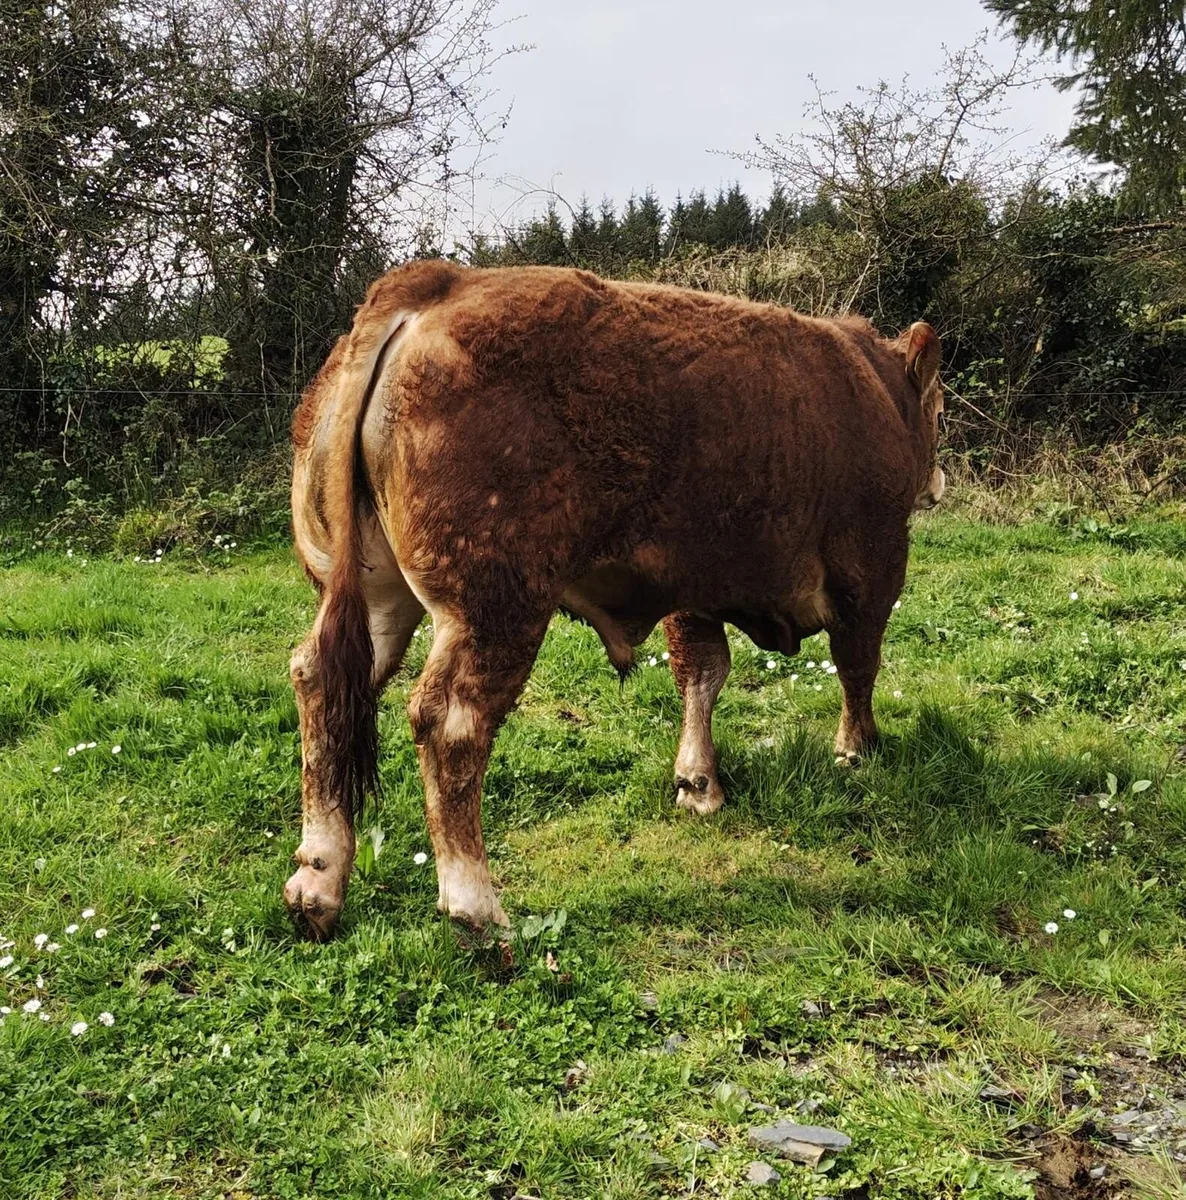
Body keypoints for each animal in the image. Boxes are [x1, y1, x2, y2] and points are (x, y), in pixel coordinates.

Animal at [285, 261, 945, 939]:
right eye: (941, 409)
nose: (940, 482)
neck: (879, 394)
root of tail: (438, 282)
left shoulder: (691, 586)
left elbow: (703, 672)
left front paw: (698, 783)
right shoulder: (873, 570)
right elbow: (858, 666)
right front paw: (858, 749)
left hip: (375, 594)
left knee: (322, 680)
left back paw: (317, 884)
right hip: (496, 607)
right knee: (451, 724)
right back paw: (478, 910)